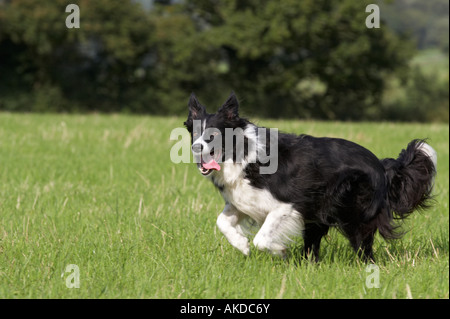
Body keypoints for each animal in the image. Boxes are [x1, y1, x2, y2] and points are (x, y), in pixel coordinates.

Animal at [182, 92, 436, 262]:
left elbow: (262, 238)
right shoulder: (243, 200)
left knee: (362, 243)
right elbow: (222, 221)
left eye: (214, 135)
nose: (195, 147)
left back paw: (365, 265)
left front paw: (279, 250)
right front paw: (241, 245)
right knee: (315, 242)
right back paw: (309, 263)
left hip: (349, 208)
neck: (242, 154)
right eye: (195, 133)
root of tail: (381, 166)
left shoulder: (288, 206)